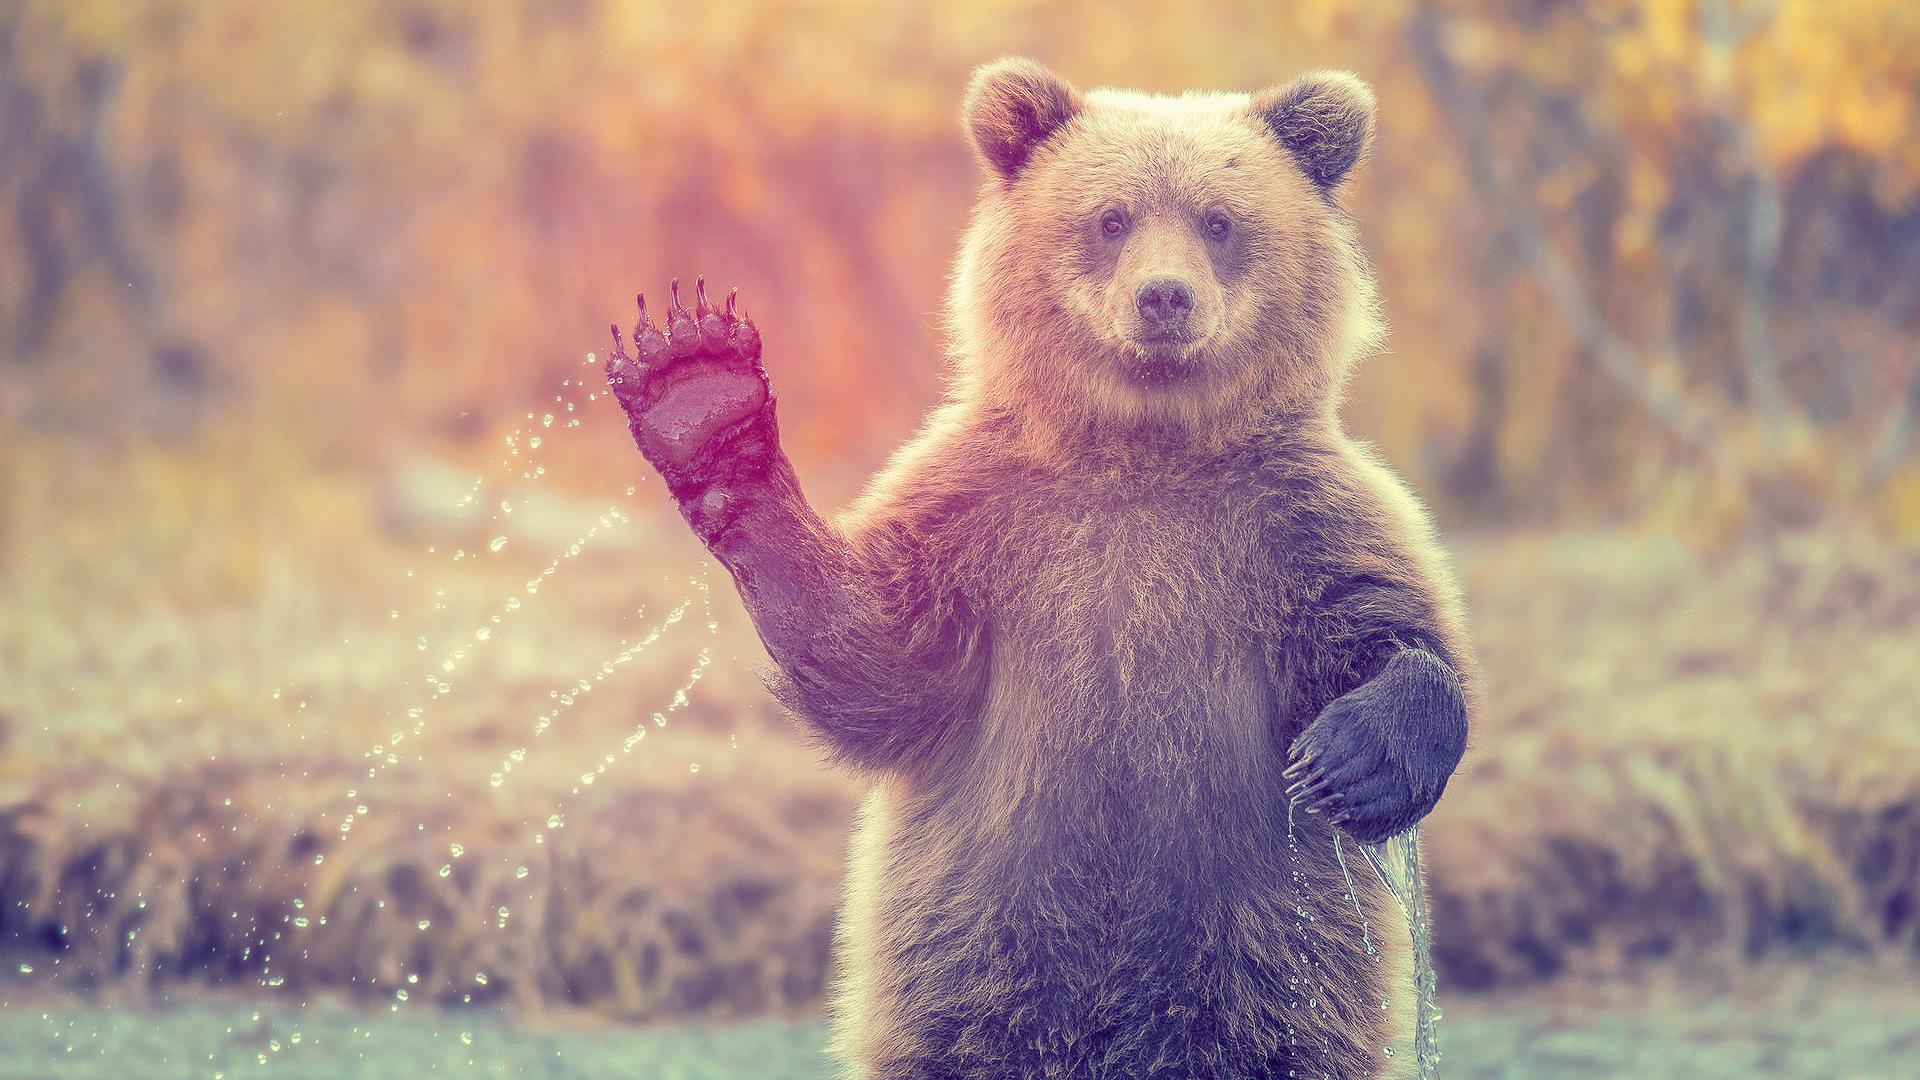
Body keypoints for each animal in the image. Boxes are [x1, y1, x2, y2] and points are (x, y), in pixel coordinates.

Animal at [603, 57, 1476, 1080]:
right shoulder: (987, 520)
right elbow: (880, 660)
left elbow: (1391, 628)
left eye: (1220, 219)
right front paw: (702, 395)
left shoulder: (1291, 522)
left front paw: (1350, 760)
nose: (1164, 298)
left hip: (1271, 970)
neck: (1143, 450)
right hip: (973, 962)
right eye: (1112, 218)